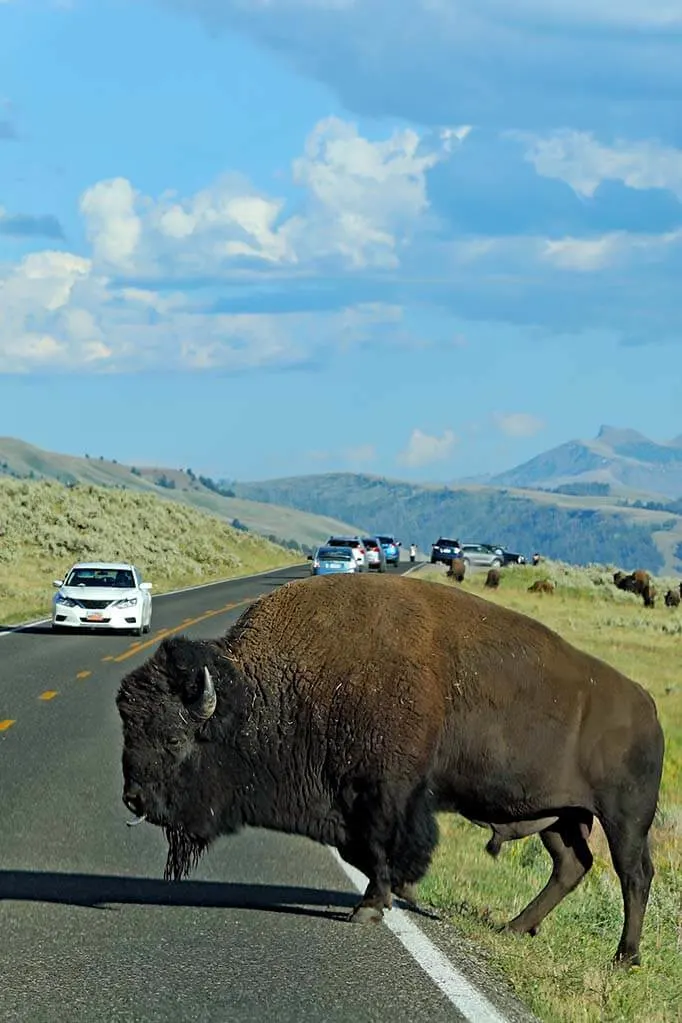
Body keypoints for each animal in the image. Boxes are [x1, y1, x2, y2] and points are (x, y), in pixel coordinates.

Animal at [118, 576, 666, 965]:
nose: (133, 798)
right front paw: (395, 895)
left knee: (634, 874)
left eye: (173, 738)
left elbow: (382, 847)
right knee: (572, 865)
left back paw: (624, 958)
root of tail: (647, 707)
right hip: (561, 817)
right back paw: (514, 927)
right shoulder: (348, 803)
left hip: (623, 819)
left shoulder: (385, 794)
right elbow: (362, 851)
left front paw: (370, 906)